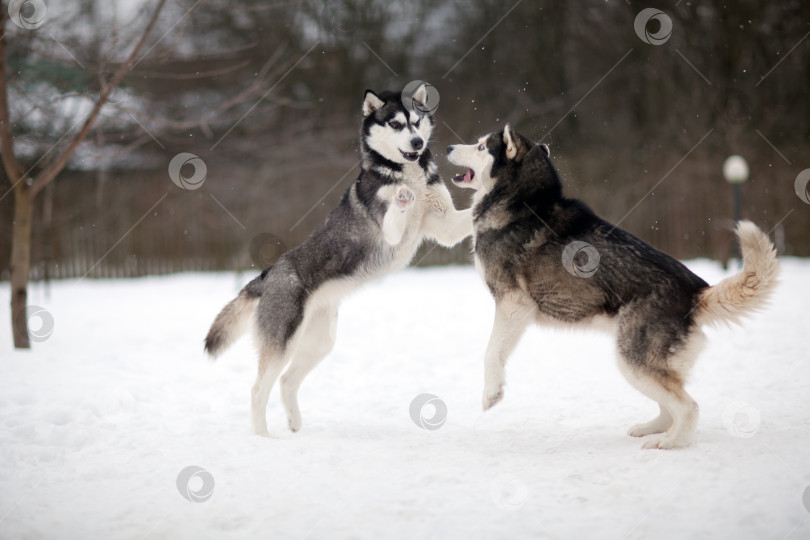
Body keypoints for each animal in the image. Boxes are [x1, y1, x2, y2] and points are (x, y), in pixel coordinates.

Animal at [208, 86, 470, 436]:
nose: (417, 143)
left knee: (287, 381)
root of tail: (268, 273)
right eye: (396, 124)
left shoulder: (447, 226)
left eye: (416, 121)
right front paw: (401, 197)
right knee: (257, 390)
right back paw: (263, 437)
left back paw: (295, 427)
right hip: (282, 341)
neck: (406, 173)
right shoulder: (388, 231)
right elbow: (396, 208)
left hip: (319, 342)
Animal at [448, 124, 776, 450]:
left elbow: (491, 352)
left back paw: (670, 442)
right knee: (669, 406)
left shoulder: (513, 303)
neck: (520, 201)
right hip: (642, 364)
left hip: (632, 361)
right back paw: (652, 430)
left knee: (688, 407)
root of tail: (695, 291)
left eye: (481, 146)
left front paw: (491, 393)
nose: (449, 148)